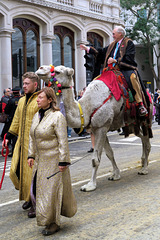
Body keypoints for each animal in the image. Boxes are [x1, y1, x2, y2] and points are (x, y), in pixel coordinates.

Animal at [35, 64, 152, 192]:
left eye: (57, 71)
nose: (40, 68)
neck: (86, 108)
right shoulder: (99, 128)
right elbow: (109, 153)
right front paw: (115, 175)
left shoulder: (102, 127)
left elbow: (95, 159)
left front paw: (90, 185)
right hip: (131, 124)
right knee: (142, 137)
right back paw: (143, 162)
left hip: (145, 117)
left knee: (146, 138)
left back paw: (144, 169)